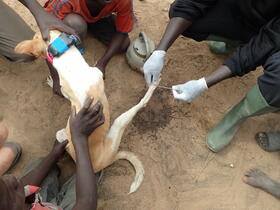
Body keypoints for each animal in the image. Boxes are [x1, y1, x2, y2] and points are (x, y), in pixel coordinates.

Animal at [15, 30, 159, 194]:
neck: (72, 65)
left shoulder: (68, 90)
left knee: (142, 103)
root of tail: (108, 160)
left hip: (110, 126)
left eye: (36, 35)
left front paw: (54, 84)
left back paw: (153, 84)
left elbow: (63, 92)